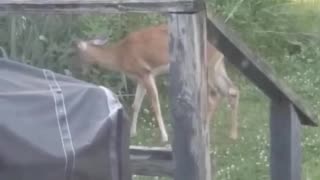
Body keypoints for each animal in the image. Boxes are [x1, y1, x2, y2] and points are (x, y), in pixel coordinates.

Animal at [73, 23, 240, 143]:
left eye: (78, 53)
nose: (79, 69)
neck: (120, 55)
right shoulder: (140, 77)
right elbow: (135, 105)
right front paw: (132, 133)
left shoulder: (146, 73)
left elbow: (155, 105)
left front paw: (164, 137)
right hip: (217, 66)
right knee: (232, 90)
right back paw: (232, 134)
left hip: (206, 68)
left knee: (215, 95)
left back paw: (206, 128)